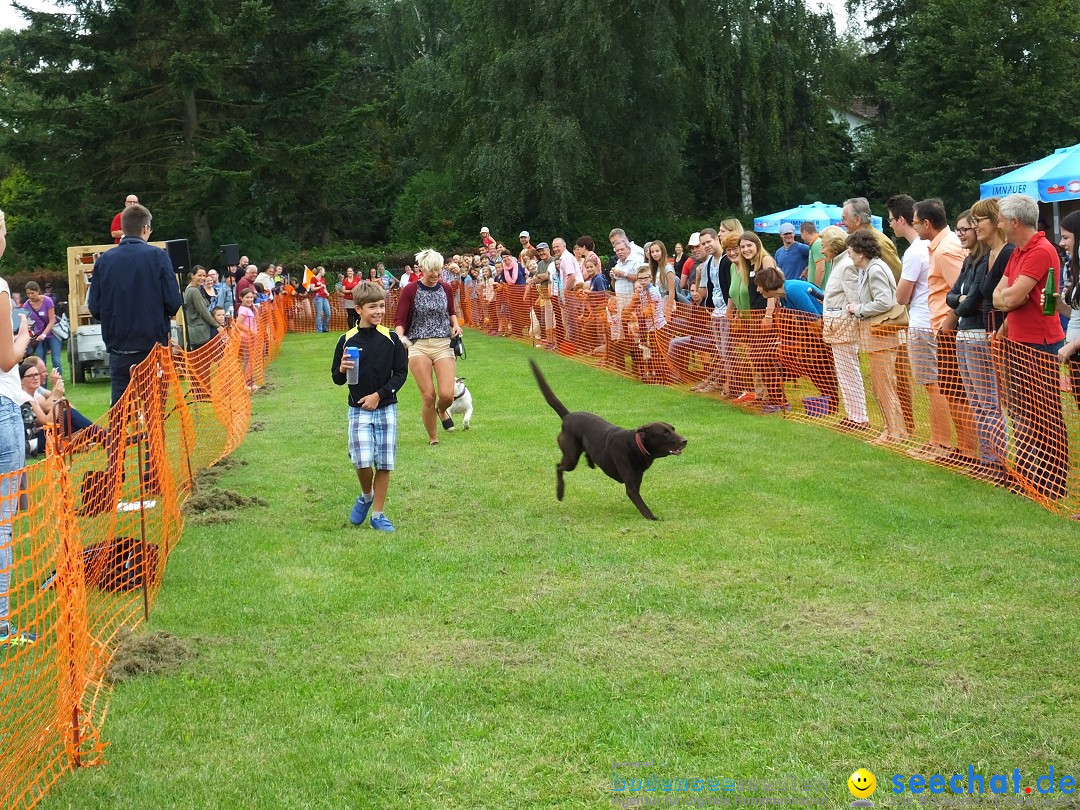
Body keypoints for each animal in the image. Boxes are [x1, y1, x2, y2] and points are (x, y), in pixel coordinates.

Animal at [529, 360, 686, 520]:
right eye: (664, 433)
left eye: (673, 429)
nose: (685, 440)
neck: (637, 446)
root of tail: (567, 416)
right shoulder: (631, 486)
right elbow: (642, 505)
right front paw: (652, 518)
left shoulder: (637, 479)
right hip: (571, 457)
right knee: (559, 467)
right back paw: (560, 492)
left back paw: (590, 462)